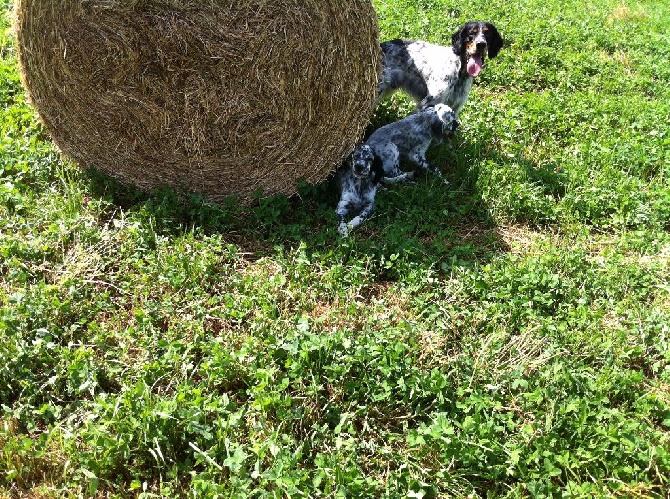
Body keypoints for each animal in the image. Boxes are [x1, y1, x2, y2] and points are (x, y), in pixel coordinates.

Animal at [336, 103, 462, 236]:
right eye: (452, 118)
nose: (459, 124)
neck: (423, 121)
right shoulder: (417, 156)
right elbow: (435, 169)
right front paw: (445, 181)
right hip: (393, 149)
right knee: (396, 174)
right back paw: (412, 181)